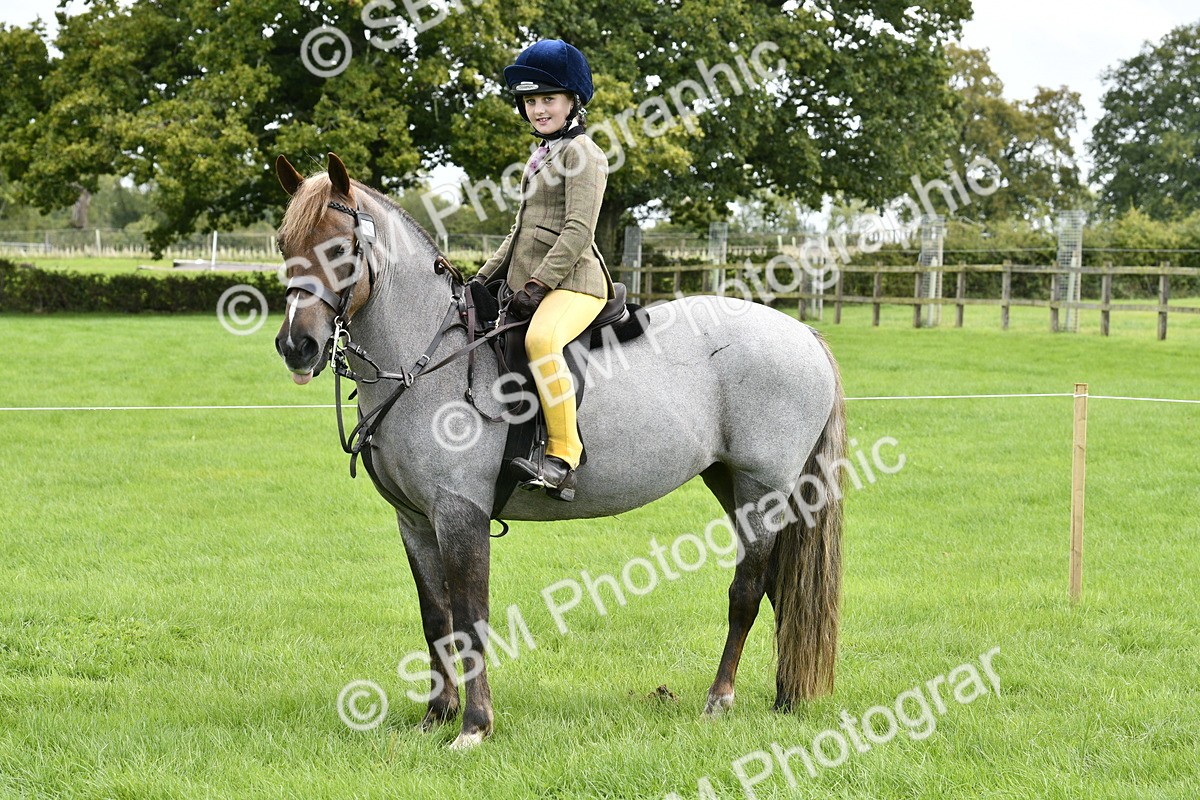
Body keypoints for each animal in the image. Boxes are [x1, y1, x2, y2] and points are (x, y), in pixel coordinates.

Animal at [272, 152, 846, 749]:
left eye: (339, 248)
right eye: (284, 242)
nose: (297, 345)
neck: (432, 356)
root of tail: (803, 333)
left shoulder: (460, 513)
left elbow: (470, 616)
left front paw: (474, 726)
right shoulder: (415, 520)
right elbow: (437, 617)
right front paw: (436, 715)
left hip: (762, 488)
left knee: (747, 591)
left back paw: (720, 700)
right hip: (730, 483)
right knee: (780, 589)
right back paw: (784, 698)